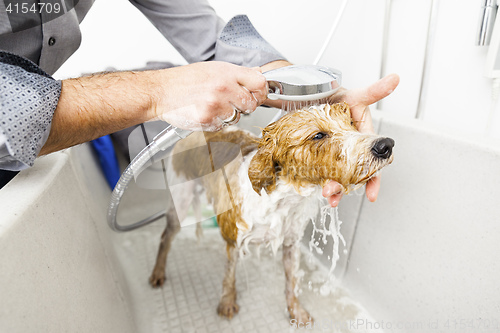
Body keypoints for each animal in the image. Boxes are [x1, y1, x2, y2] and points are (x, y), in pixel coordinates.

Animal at [148, 103, 394, 322]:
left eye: (351, 123)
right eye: (318, 136)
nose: (386, 145)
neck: (284, 200)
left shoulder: (291, 243)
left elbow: (292, 282)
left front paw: (296, 312)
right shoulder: (233, 238)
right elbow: (229, 275)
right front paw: (227, 303)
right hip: (180, 199)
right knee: (165, 236)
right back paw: (158, 273)